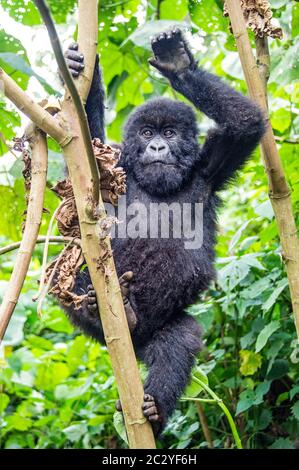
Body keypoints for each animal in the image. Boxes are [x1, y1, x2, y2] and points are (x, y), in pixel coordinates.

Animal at [60, 29, 264, 434]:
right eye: (147, 132)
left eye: (169, 132)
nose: (157, 146)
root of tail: (134, 342)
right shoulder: (113, 165)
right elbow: (86, 155)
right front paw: (77, 66)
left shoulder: (209, 168)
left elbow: (246, 122)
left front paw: (179, 67)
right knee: (77, 267)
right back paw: (97, 309)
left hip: (154, 334)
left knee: (179, 338)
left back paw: (155, 409)